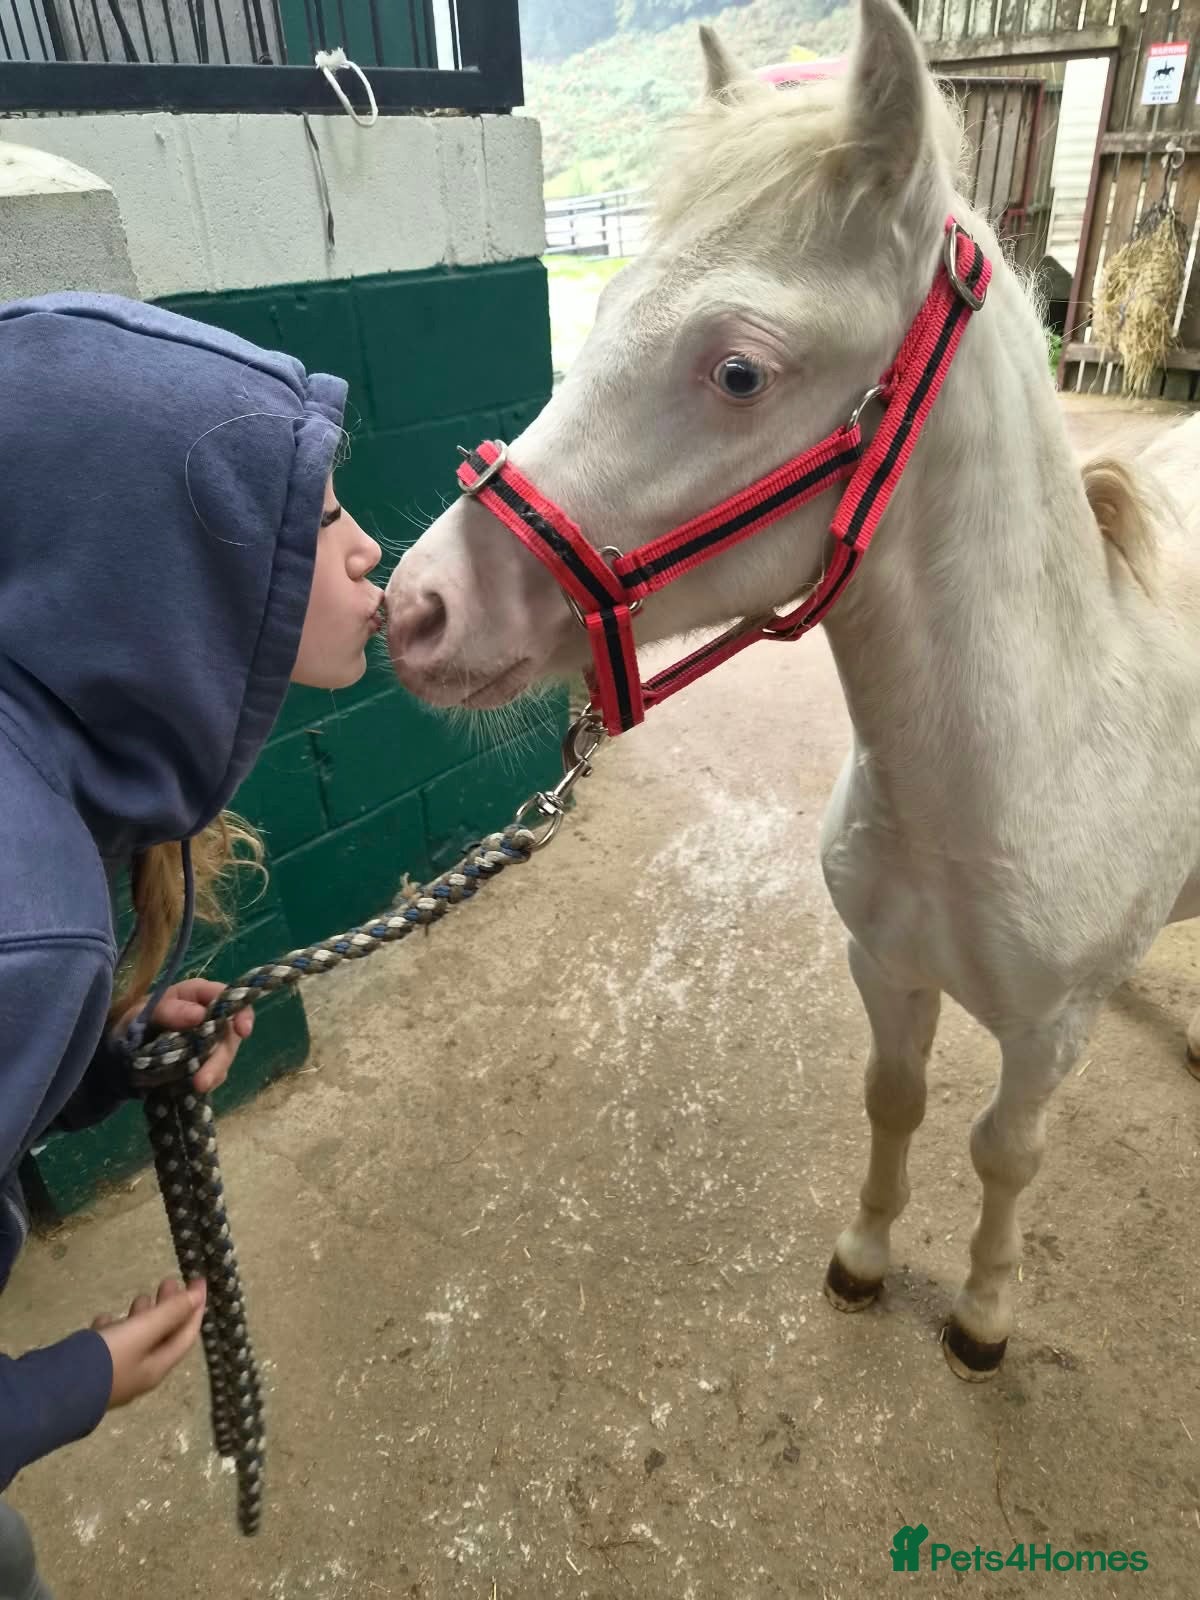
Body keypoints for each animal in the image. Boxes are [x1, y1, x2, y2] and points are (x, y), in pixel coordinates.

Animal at [384, 0, 1200, 1380]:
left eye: (740, 373)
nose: (417, 607)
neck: (1022, 770)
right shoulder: (883, 966)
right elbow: (895, 1101)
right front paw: (866, 1256)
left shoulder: (1046, 1037)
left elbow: (1005, 1153)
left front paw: (983, 1312)